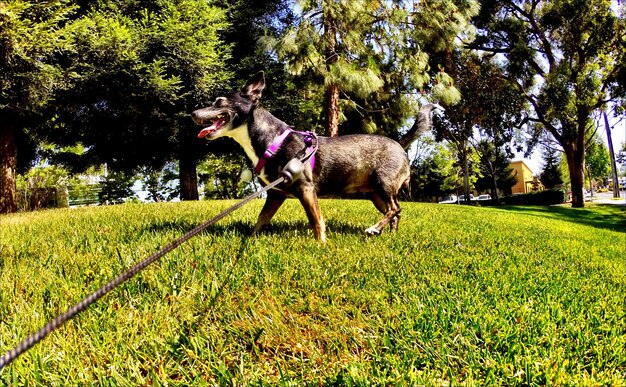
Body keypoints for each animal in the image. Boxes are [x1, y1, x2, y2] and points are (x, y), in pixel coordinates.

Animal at [191, 72, 438, 242]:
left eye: (219, 102)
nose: (193, 113)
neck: (272, 140)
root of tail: (400, 143)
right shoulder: (275, 194)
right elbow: (262, 218)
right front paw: (251, 238)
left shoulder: (306, 189)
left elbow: (315, 219)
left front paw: (321, 243)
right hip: (375, 194)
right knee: (394, 212)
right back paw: (389, 235)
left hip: (383, 184)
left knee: (395, 208)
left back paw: (374, 228)